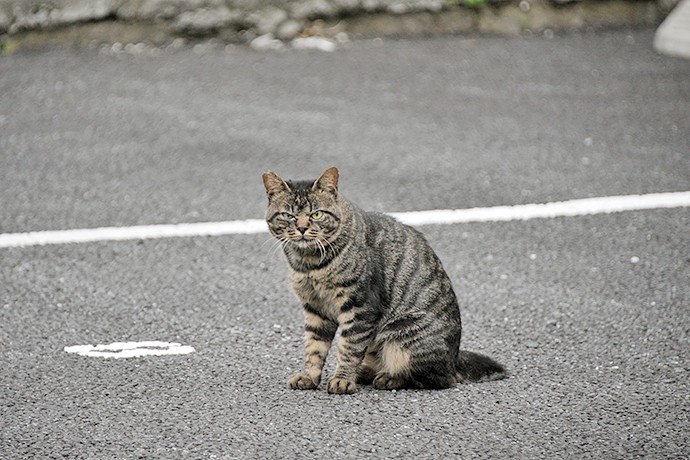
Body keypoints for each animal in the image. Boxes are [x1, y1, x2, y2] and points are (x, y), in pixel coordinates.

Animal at [260, 167, 502, 394]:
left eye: (317, 214)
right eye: (289, 216)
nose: (301, 228)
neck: (309, 263)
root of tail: (455, 358)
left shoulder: (359, 305)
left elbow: (349, 348)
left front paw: (342, 379)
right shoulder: (316, 308)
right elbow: (314, 348)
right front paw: (309, 376)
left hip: (401, 334)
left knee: (437, 378)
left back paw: (388, 378)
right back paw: (366, 372)